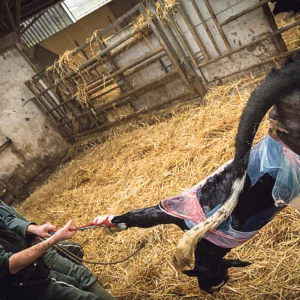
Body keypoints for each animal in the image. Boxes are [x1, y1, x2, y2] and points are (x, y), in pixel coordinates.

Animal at [92, 53, 300, 292]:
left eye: (217, 281)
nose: (211, 291)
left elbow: (143, 215)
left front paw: (112, 223)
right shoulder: (177, 209)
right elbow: (140, 216)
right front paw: (109, 222)